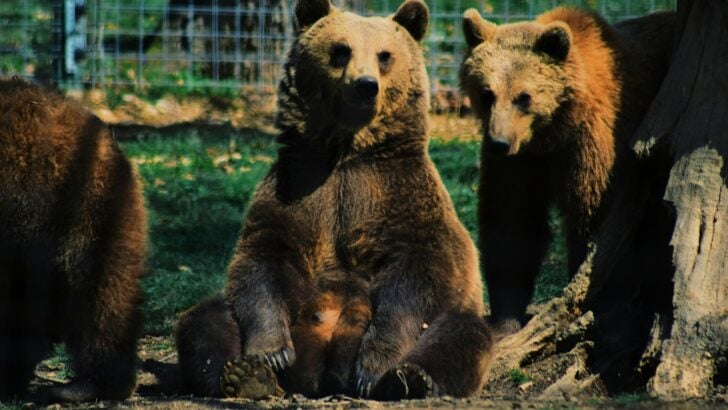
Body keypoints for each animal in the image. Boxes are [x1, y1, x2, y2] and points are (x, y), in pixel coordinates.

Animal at [174, 0, 494, 401]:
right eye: (341, 50)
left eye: (385, 55)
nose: (365, 86)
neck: (346, 151)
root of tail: (321, 379)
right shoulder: (301, 189)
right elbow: (264, 257)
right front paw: (272, 352)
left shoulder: (396, 194)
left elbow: (417, 273)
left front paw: (375, 367)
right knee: (205, 320)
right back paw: (245, 375)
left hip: (455, 316)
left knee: (463, 334)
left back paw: (410, 379)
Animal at [459, 7, 676, 332]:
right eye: (487, 93)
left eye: (524, 96)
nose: (499, 142)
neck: (551, 134)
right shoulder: (520, 164)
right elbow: (512, 221)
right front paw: (505, 318)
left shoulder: (596, 145)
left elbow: (594, 221)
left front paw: (598, 307)